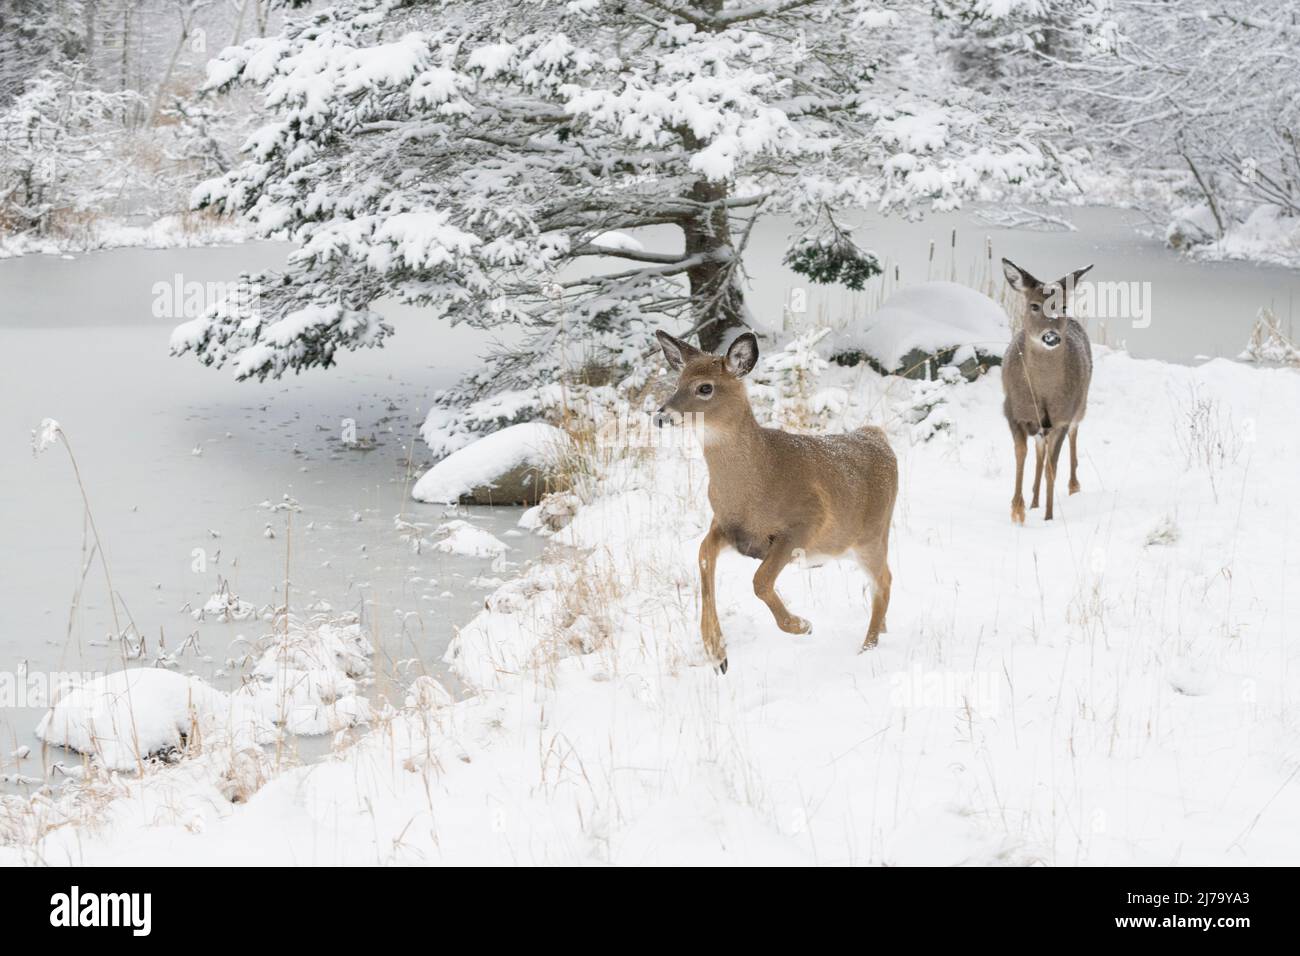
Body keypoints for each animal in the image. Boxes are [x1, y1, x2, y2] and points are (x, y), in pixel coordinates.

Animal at [655, 329, 899, 671]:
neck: (757, 484)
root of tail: (877, 436)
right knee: (882, 582)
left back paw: (868, 647)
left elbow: (759, 581)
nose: (661, 417)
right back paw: (881, 632)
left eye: (705, 387)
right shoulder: (726, 527)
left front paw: (801, 625)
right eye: (677, 382)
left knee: (885, 581)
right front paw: (717, 652)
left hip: (872, 534)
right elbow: (703, 558)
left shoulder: (806, 522)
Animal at [1003, 257, 1097, 522]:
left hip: (1080, 404)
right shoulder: (1012, 411)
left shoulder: (1061, 418)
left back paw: (1073, 486)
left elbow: (1051, 469)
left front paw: (1048, 516)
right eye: (1034, 305)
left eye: (1063, 306)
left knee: (1073, 436)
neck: (1043, 393)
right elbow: (1021, 454)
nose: (1051, 337)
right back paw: (1034, 500)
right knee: (1038, 450)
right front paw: (1018, 510)